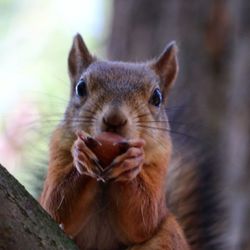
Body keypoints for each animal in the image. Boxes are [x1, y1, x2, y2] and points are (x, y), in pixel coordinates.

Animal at [40, 33, 191, 250]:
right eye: (80, 88)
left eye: (157, 97)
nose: (114, 119)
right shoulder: (58, 148)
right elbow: (55, 207)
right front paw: (81, 155)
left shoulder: (160, 162)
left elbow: (145, 219)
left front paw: (132, 162)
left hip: (170, 234)